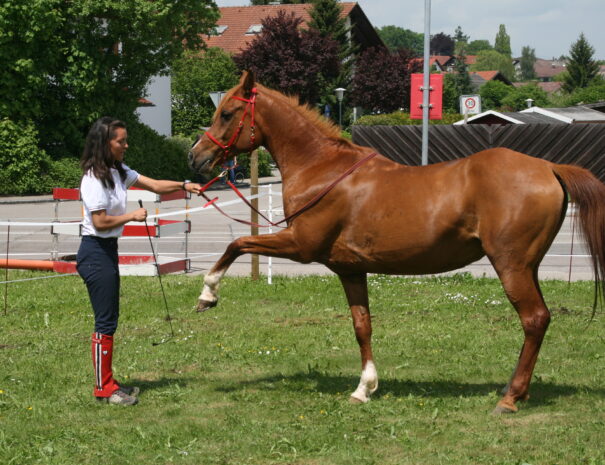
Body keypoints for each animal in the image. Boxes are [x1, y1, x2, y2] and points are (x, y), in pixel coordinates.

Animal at [188, 70, 604, 412]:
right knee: (540, 320)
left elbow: (238, 244)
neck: (322, 169)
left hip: (511, 265)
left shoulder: (300, 246)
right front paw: (364, 388)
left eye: (227, 113)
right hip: (528, 266)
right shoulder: (349, 269)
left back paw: (510, 398)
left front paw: (208, 294)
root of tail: (549, 167)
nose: (195, 157)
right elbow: (362, 326)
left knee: (534, 319)